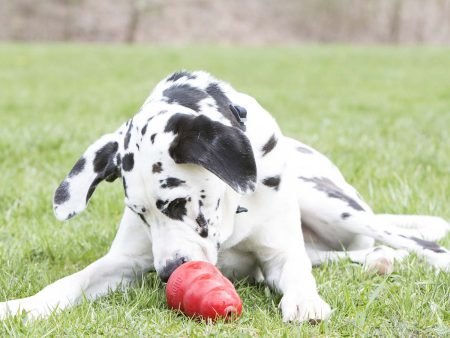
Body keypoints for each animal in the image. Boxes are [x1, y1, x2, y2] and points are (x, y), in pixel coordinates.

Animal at [0, 70, 450, 322]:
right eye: (140, 214)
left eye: (178, 202)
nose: (168, 272)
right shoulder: (124, 261)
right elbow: (70, 282)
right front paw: (23, 307)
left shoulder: (281, 253)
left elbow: (298, 272)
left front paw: (306, 302)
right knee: (345, 254)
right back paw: (380, 261)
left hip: (331, 204)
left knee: (415, 242)